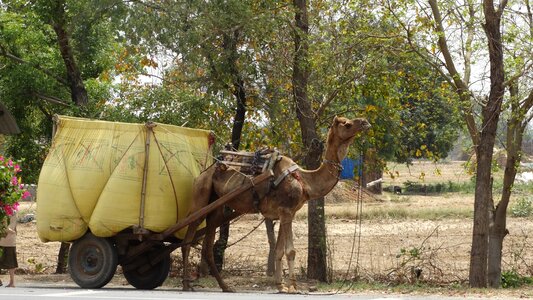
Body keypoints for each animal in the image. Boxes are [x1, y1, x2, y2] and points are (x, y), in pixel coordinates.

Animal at [181, 115, 368, 292]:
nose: (365, 122)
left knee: (207, 246)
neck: (304, 181)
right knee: (188, 237)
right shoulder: (286, 211)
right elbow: (290, 251)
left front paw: (280, 286)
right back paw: (186, 284)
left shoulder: (285, 213)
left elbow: (278, 250)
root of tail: (202, 173)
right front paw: (293, 287)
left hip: (217, 206)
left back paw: (225, 286)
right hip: (201, 195)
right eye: (347, 124)